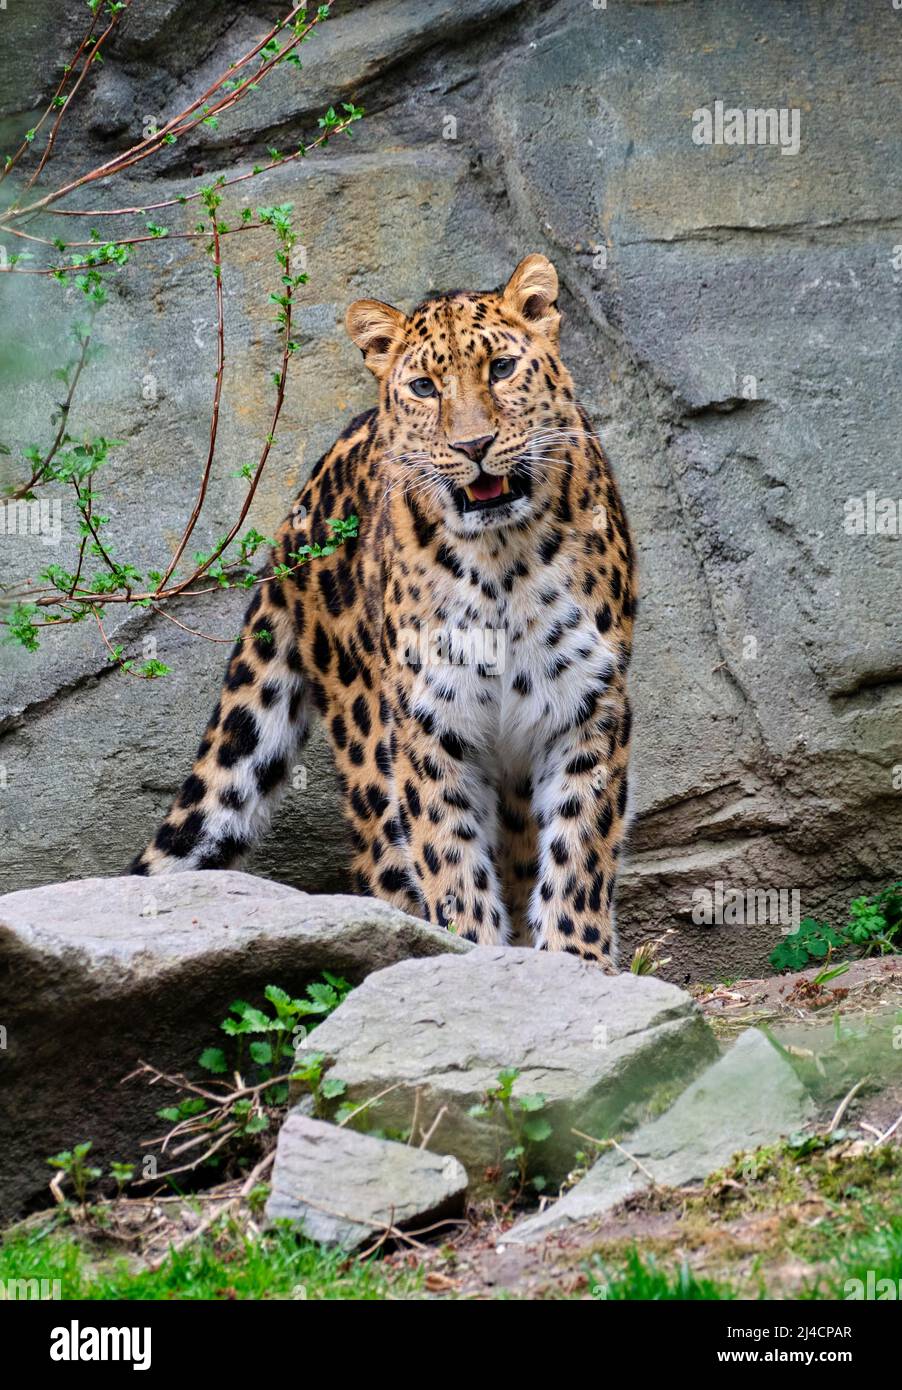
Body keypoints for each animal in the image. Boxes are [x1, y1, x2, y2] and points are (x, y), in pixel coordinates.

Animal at [130, 254, 637, 966]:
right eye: (424, 387)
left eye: (501, 369)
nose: (475, 444)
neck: (501, 561)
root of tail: (293, 517)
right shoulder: (430, 723)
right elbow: (452, 856)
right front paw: (474, 952)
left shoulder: (587, 706)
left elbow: (577, 852)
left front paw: (575, 962)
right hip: (370, 739)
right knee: (389, 865)